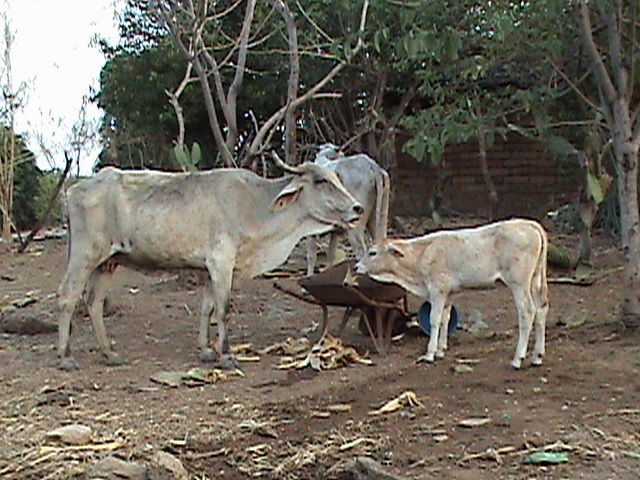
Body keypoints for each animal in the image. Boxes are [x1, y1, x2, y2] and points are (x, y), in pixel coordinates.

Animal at [57, 158, 362, 372]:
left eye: (337, 178)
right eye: (321, 181)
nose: (357, 208)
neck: (255, 205)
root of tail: (75, 188)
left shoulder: (208, 268)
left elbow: (206, 307)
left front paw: (205, 350)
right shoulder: (221, 261)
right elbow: (223, 309)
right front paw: (225, 355)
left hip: (108, 262)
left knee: (94, 302)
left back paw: (109, 353)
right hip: (84, 256)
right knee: (68, 297)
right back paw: (66, 356)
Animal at [356, 219, 552, 370]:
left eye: (372, 252)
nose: (356, 266)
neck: (422, 254)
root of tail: (530, 224)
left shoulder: (437, 289)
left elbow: (434, 319)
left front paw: (429, 354)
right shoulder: (449, 292)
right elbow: (445, 318)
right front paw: (441, 350)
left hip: (519, 283)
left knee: (527, 312)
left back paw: (517, 360)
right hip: (536, 280)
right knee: (541, 309)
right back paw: (537, 356)